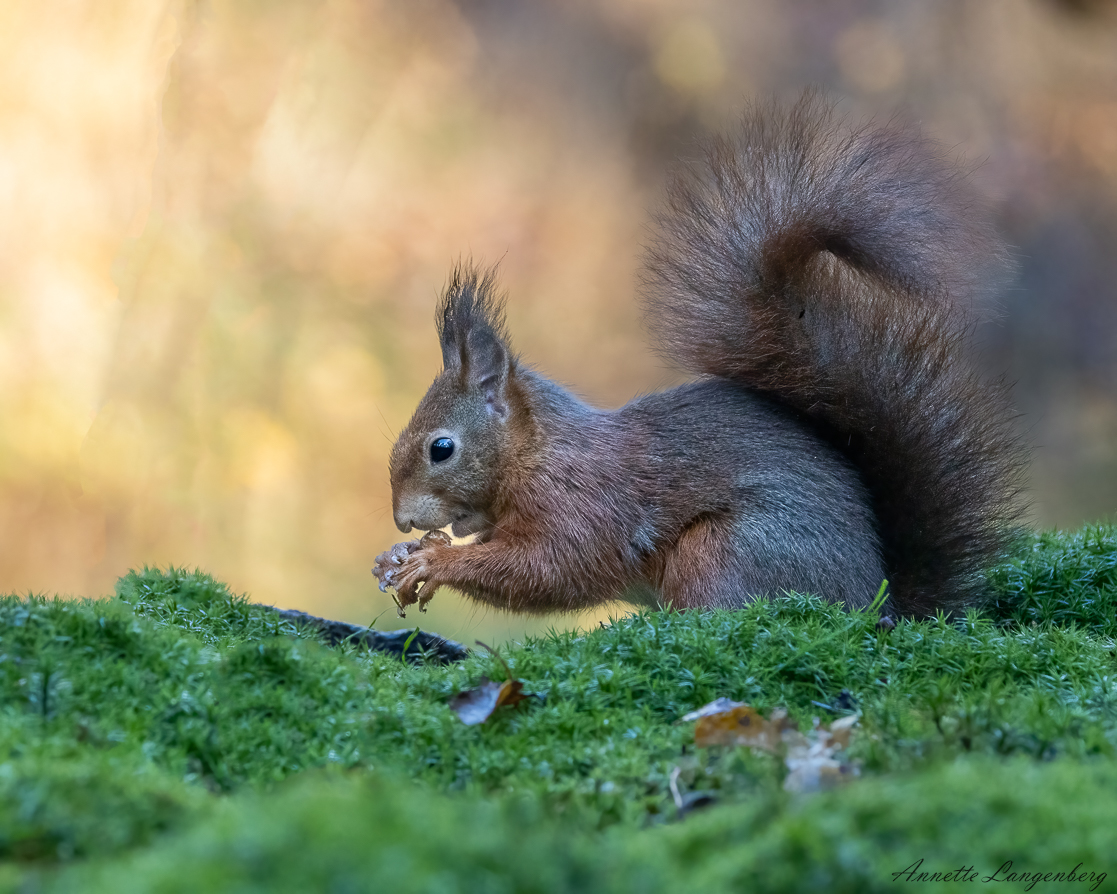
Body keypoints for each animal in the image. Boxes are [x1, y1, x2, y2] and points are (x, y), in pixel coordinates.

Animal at [370, 94, 1023, 616]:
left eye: (441, 449)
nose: (402, 518)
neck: (538, 453)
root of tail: (878, 605)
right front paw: (399, 555)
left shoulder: (584, 504)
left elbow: (552, 569)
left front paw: (433, 563)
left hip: (726, 552)